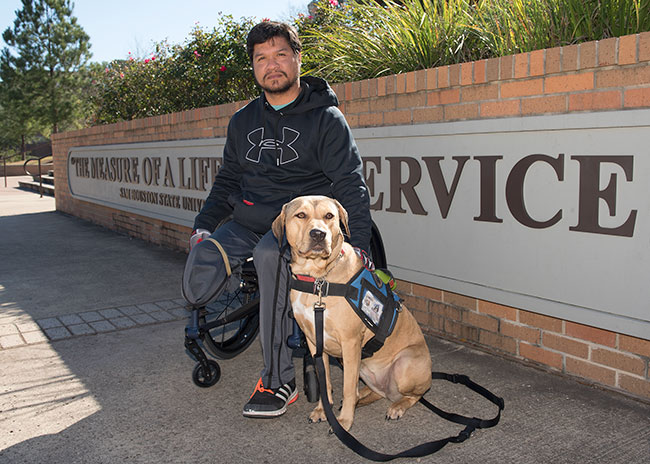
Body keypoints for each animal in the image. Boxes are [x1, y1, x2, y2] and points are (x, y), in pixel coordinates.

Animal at [272, 195, 430, 432]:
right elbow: (325, 380)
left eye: (329, 216)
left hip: (403, 363)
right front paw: (323, 410)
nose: (318, 234)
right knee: (371, 390)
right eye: (300, 215)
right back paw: (361, 398)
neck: (318, 279)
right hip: (362, 366)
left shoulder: (350, 341)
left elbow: (346, 388)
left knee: (414, 395)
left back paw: (396, 407)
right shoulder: (314, 342)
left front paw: (344, 421)